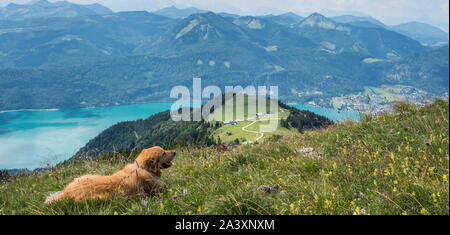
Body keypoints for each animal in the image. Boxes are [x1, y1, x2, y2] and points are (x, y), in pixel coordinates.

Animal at [45, 146, 176, 203]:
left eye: (164, 150)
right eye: (163, 153)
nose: (174, 151)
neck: (143, 168)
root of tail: (66, 193)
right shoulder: (158, 189)